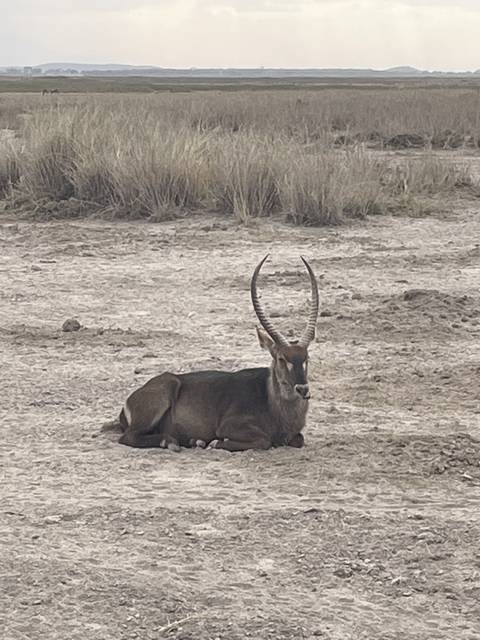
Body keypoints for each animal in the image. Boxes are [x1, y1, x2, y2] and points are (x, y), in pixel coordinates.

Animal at [114, 255, 319, 452]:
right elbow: (264, 440)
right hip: (163, 394)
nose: (302, 389)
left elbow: (299, 439)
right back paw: (173, 442)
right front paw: (215, 443)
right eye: (281, 358)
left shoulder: (294, 434)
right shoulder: (228, 426)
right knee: (128, 437)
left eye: (306, 358)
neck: (272, 402)